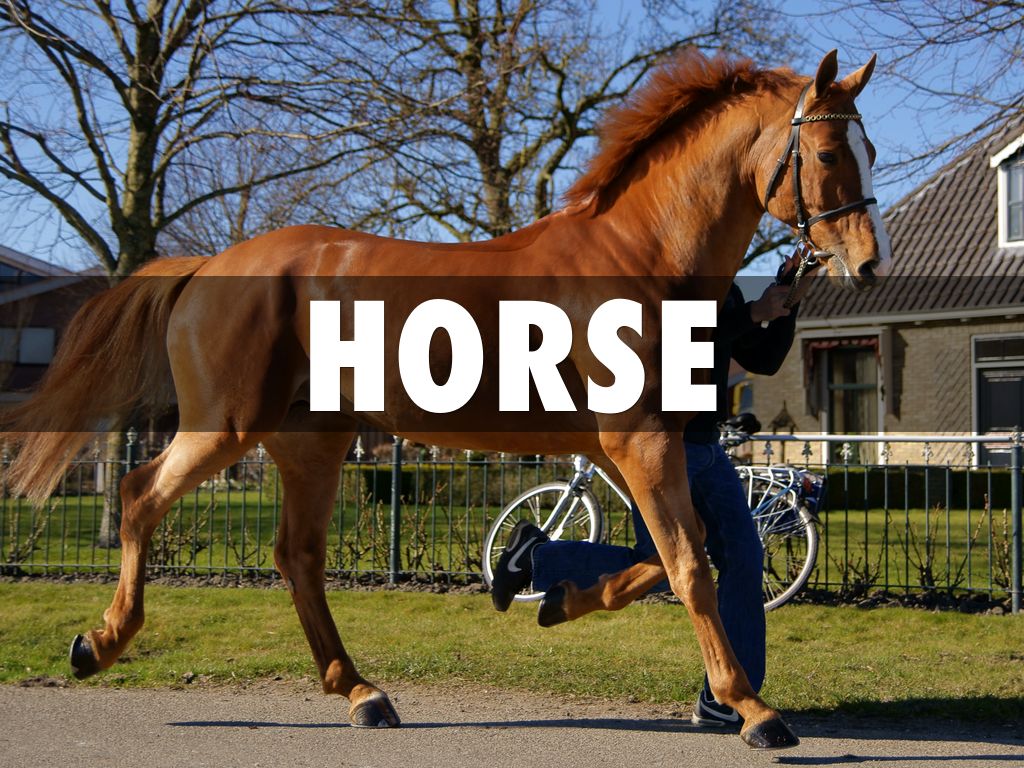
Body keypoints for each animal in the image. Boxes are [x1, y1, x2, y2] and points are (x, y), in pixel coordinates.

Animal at [3, 49, 889, 750]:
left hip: (311, 443)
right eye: (829, 149)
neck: (640, 255)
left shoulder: (633, 449)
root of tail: (209, 266)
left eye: (871, 145)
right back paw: (100, 644)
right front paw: (754, 710)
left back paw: (361, 691)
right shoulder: (637, 443)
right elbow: (689, 564)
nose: (869, 263)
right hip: (228, 427)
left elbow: (663, 558)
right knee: (139, 495)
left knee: (297, 556)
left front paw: (549, 592)